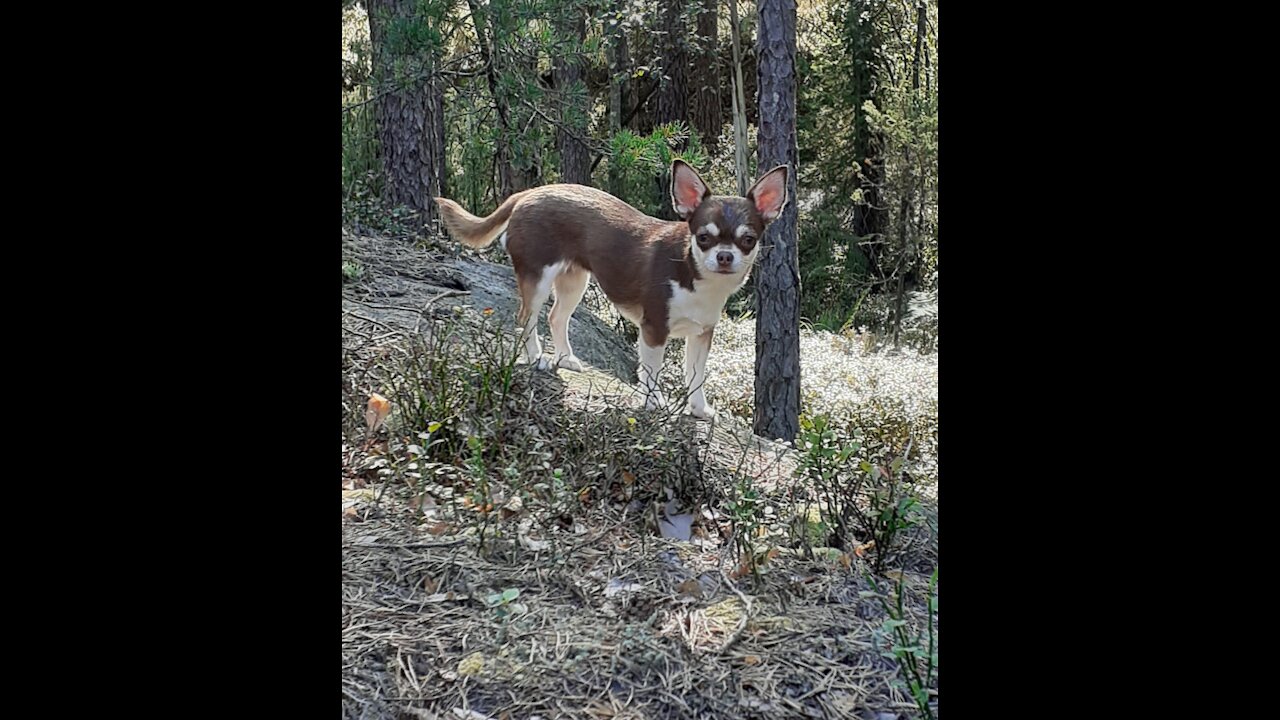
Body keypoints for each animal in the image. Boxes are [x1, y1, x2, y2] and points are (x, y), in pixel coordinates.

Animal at [435, 159, 783, 417]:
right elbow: (652, 371)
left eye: (748, 240)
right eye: (704, 237)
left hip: (574, 282)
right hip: (537, 278)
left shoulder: (701, 334)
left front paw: (699, 409)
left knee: (556, 318)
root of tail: (529, 193)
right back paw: (537, 358)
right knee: (526, 319)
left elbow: (695, 375)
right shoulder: (653, 329)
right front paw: (653, 401)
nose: (724, 256)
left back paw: (565, 357)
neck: (695, 274)